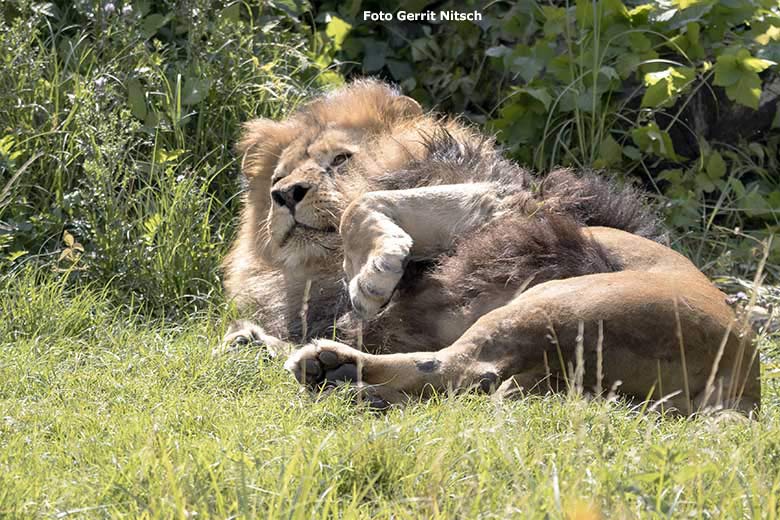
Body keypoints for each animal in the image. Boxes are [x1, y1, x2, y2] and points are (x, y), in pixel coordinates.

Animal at [221, 79, 760, 416]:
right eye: (277, 177)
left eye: (339, 160)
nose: (285, 194)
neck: (320, 270)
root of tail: (744, 386)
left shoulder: (499, 202)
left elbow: (362, 204)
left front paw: (373, 276)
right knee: (459, 379)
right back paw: (315, 366)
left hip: (558, 303)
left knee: (453, 367)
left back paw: (330, 367)